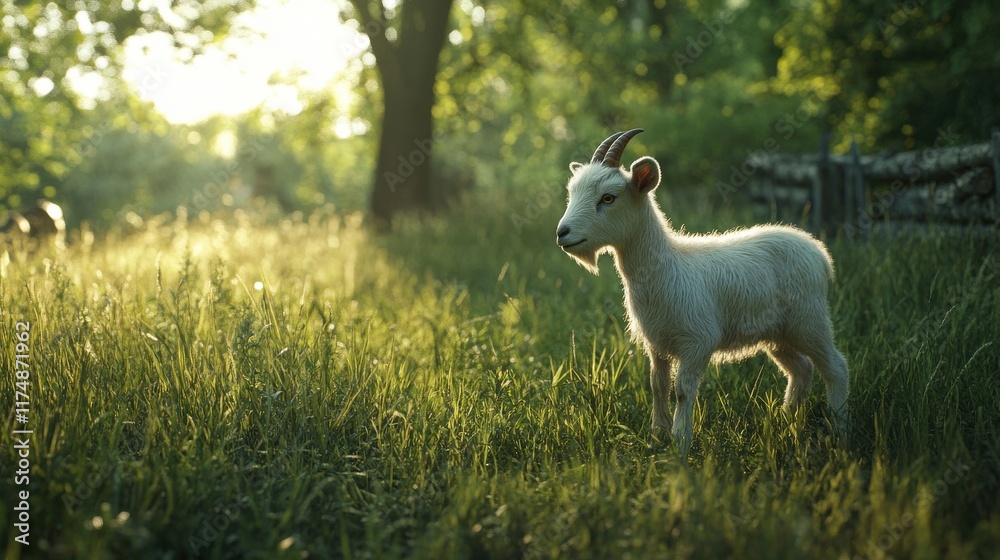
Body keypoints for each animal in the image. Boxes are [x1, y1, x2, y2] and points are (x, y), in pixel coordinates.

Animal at [555, 129, 849, 454]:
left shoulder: (697, 340)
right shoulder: (656, 341)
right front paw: (657, 435)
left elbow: (682, 389)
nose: (562, 233)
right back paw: (787, 423)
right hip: (779, 334)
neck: (665, 267)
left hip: (809, 320)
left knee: (836, 367)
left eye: (608, 198)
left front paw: (680, 441)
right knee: (802, 369)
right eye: (572, 193)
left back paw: (839, 428)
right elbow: (657, 385)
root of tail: (818, 252)